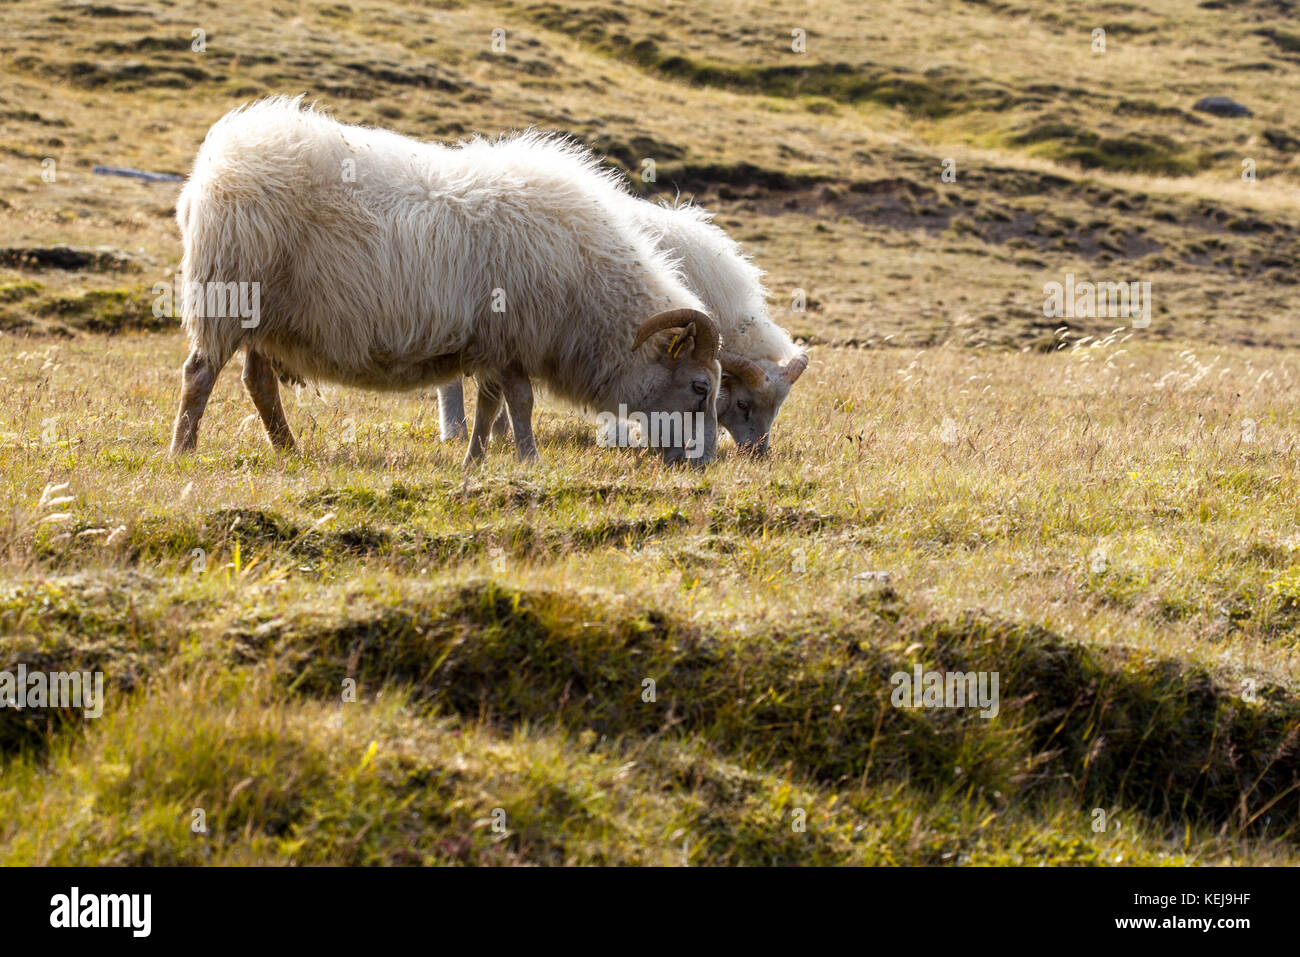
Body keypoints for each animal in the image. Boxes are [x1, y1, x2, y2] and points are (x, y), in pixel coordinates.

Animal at [169, 96, 723, 466]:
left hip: (266, 315)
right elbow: (518, 402)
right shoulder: (513, 333)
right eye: (699, 387)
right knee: (200, 372)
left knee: (257, 380)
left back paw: (287, 448)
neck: (590, 293)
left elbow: (491, 404)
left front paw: (477, 459)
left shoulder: (494, 340)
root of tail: (209, 172)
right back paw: (183, 450)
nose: (702, 462)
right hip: (228, 291)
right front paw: (528, 458)